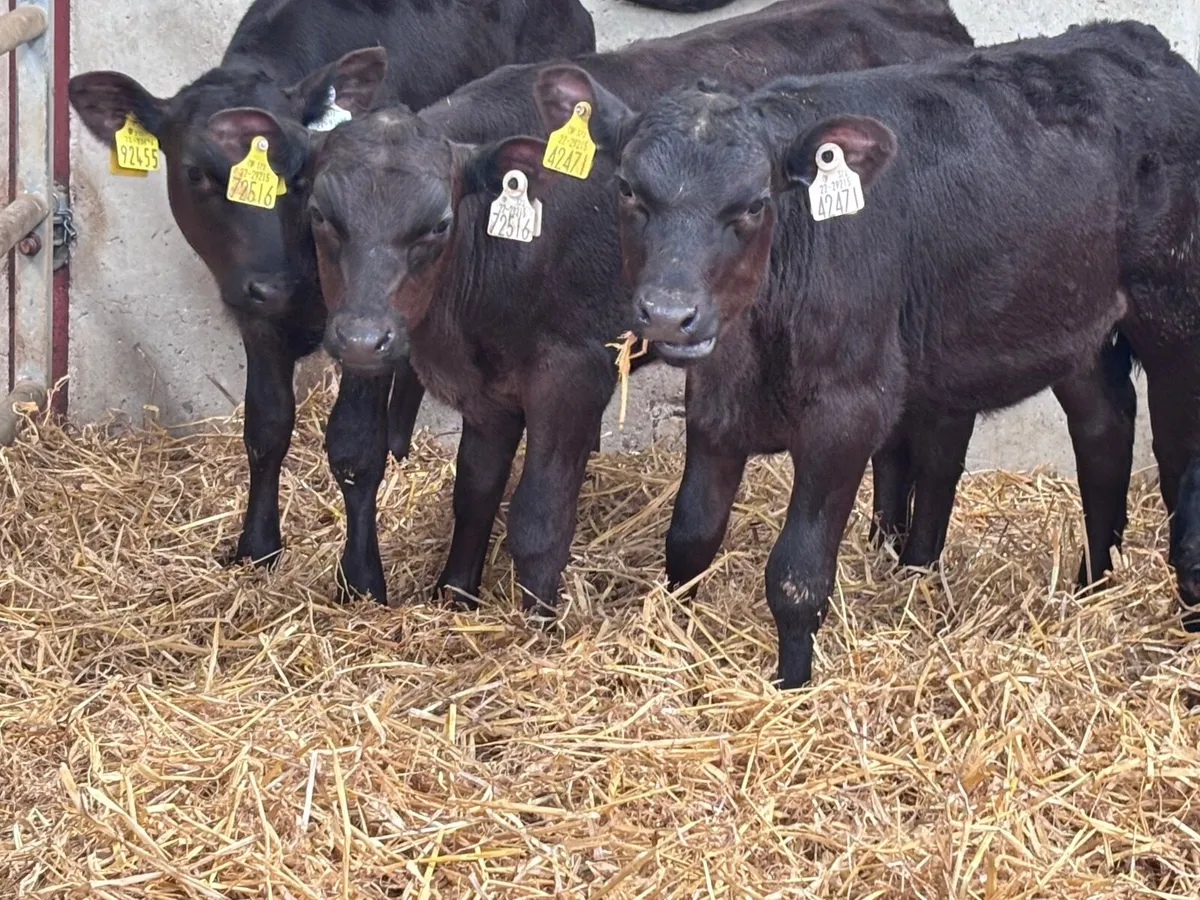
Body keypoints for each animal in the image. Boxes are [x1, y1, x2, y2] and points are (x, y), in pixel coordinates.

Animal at [67, 0, 598, 603]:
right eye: (196, 173)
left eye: (298, 178)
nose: (275, 285)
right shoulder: (258, 319)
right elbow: (266, 427)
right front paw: (257, 546)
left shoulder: (368, 324)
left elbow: (354, 447)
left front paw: (362, 580)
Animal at [223, 0, 978, 615]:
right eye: (320, 215)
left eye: (436, 224)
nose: (361, 338)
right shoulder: (490, 390)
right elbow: (474, 490)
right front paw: (455, 596)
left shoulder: (572, 372)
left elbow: (537, 517)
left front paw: (535, 627)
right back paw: (884, 540)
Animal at [535, 19, 1200, 688]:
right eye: (627, 189)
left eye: (754, 203)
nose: (670, 313)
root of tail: (1135, 41)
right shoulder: (717, 406)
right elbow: (690, 538)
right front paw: (680, 642)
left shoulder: (848, 412)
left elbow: (796, 574)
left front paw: (792, 686)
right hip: (1075, 315)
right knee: (1104, 426)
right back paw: (1092, 584)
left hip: (1173, 312)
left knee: (1175, 452)